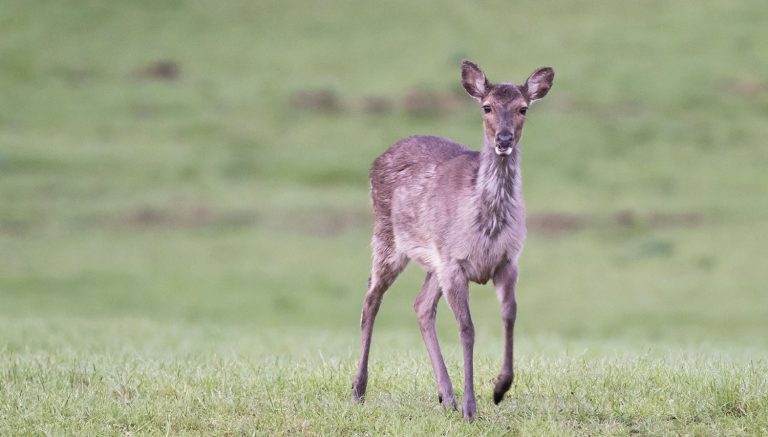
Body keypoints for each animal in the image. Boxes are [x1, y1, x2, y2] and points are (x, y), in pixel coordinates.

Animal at [352, 60, 556, 418]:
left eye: (523, 108)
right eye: (486, 107)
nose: (504, 139)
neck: (487, 224)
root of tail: (377, 159)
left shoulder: (507, 260)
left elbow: (510, 315)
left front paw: (500, 388)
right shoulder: (455, 263)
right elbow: (467, 328)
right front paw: (471, 407)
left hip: (434, 262)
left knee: (420, 306)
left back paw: (445, 396)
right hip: (388, 238)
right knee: (371, 298)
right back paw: (359, 389)